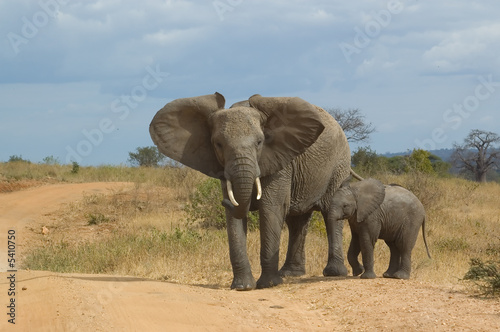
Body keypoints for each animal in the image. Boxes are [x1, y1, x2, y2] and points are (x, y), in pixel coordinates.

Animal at [150, 92, 350, 290]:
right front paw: (242, 286)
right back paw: (291, 273)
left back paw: (334, 272)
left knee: (330, 212)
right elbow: (235, 217)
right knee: (297, 220)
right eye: (218, 144)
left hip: (339, 165)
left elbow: (271, 208)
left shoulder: (279, 162)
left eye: (260, 142)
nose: (223, 202)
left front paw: (269, 284)